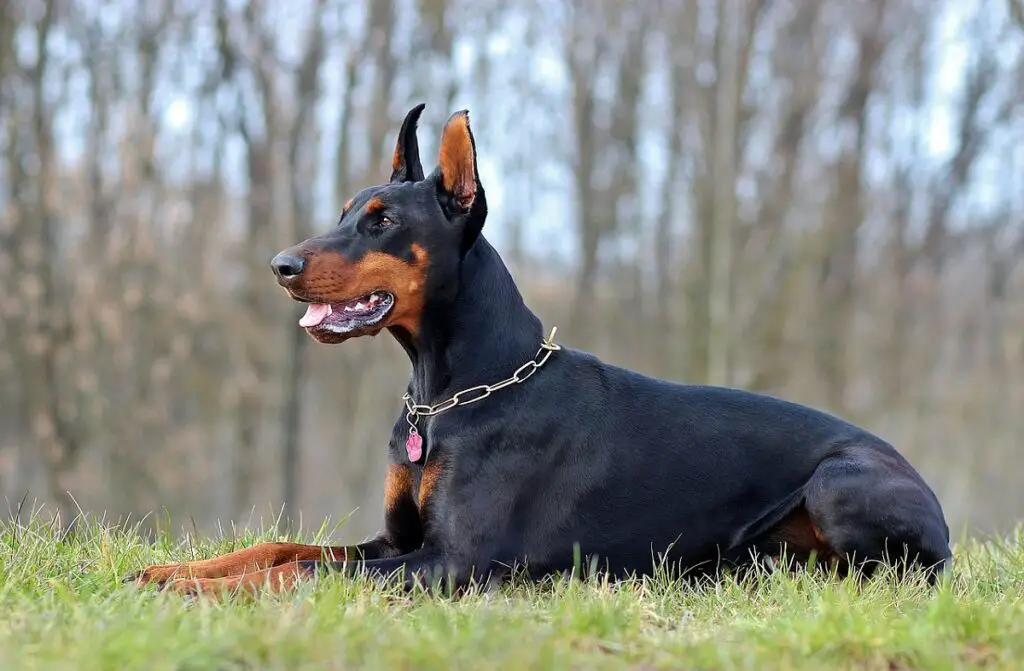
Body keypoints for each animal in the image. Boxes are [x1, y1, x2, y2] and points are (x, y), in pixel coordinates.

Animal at [125, 105, 950, 598]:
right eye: (344, 212)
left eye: (382, 220)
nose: (280, 264)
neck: (451, 391)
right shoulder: (396, 539)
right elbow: (277, 548)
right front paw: (172, 569)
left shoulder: (449, 560)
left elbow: (300, 573)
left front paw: (198, 590)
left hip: (841, 481)